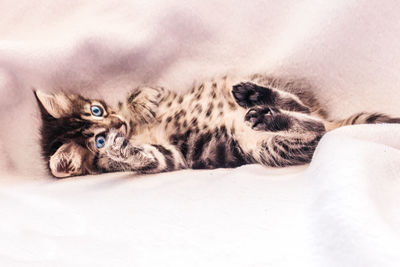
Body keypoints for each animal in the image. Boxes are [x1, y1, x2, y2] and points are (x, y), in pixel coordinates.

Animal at [33, 74, 400, 178]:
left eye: (97, 109)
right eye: (99, 141)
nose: (119, 124)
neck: (136, 132)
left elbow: (141, 91)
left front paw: (143, 101)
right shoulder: (173, 156)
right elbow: (152, 158)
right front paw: (125, 153)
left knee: (304, 112)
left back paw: (254, 95)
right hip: (266, 148)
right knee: (313, 130)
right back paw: (265, 114)